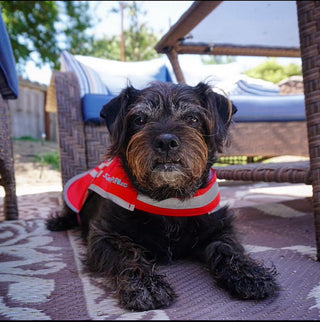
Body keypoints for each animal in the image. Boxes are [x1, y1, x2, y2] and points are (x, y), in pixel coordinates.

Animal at [47, 81, 278, 312]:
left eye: (192, 118)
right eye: (140, 120)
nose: (166, 142)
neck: (169, 197)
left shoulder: (218, 228)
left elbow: (228, 248)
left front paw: (249, 274)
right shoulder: (104, 235)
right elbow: (128, 254)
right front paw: (145, 286)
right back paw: (58, 222)